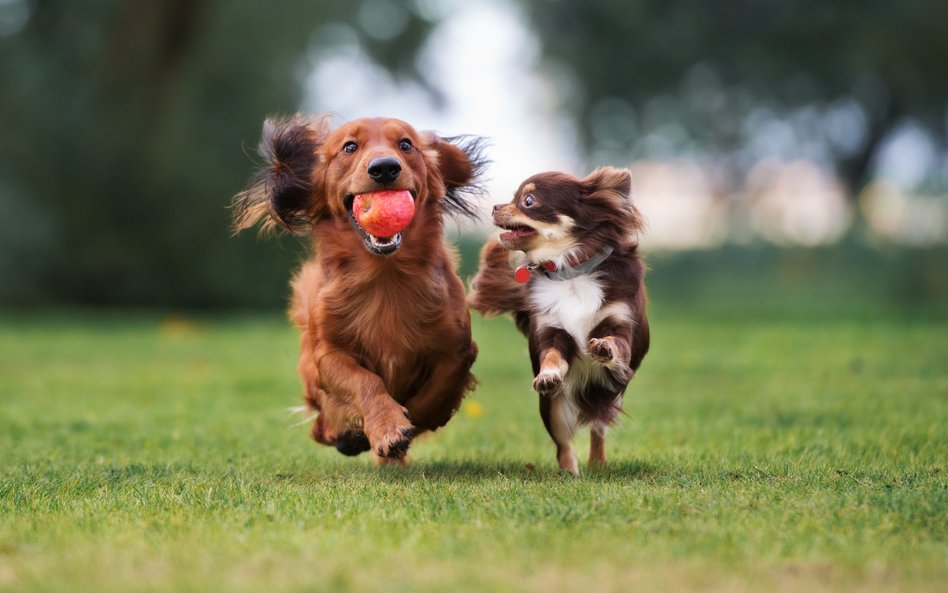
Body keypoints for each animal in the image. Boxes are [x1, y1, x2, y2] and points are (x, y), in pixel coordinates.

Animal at [232, 114, 486, 462]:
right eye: (349, 147)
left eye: (406, 144)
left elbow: (435, 392)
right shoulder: (328, 356)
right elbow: (365, 381)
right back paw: (348, 435)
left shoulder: (458, 349)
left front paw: (409, 422)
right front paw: (387, 426)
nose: (384, 168)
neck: (385, 277)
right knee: (321, 425)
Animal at [468, 165, 648, 472]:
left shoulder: (621, 324)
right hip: (552, 408)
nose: (495, 206)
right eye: (513, 197)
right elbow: (552, 356)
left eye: (528, 201)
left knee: (598, 428)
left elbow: (616, 343)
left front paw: (604, 347)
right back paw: (569, 472)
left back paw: (597, 463)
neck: (570, 272)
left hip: (609, 395)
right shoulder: (552, 331)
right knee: (563, 443)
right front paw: (549, 375)